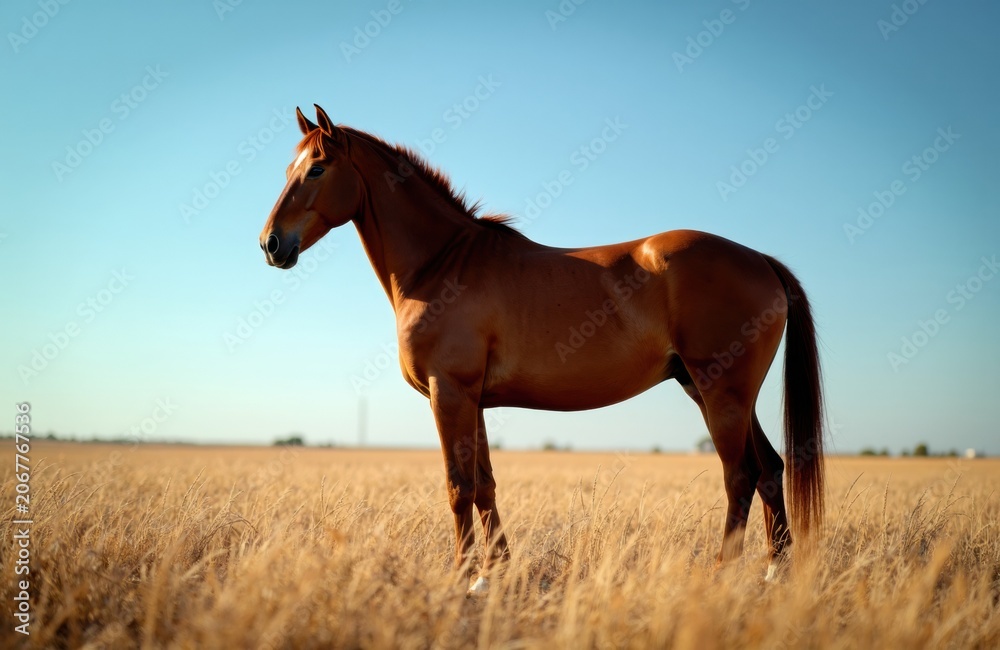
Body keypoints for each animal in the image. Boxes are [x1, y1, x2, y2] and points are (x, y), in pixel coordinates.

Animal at [258, 105, 824, 595]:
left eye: (317, 168)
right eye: (289, 168)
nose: (271, 244)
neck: (441, 265)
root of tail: (760, 260)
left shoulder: (449, 392)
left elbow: (459, 487)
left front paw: (462, 579)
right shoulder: (473, 400)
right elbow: (485, 485)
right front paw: (493, 575)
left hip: (720, 392)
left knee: (741, 475)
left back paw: (720, 575)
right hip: (715, 392)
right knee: (771, 469)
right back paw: (774, 574)